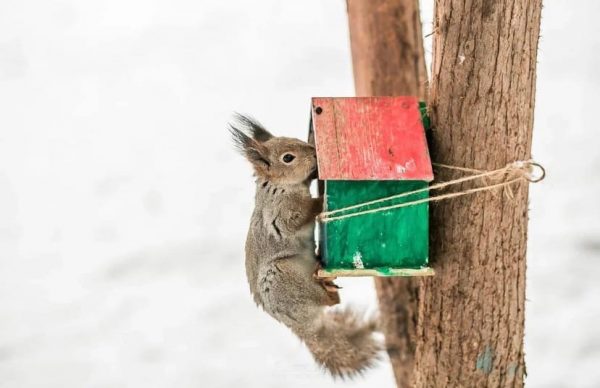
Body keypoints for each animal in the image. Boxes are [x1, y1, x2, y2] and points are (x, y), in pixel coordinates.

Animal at [230, 113, 380, 378]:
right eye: (288, 158)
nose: (314, 152)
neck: (279, 186)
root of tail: (306, 329)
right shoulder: (280, 214)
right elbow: (298, 218)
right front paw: (321, 200)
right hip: (285, 277)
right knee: (328, 302)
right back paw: (327, 291)